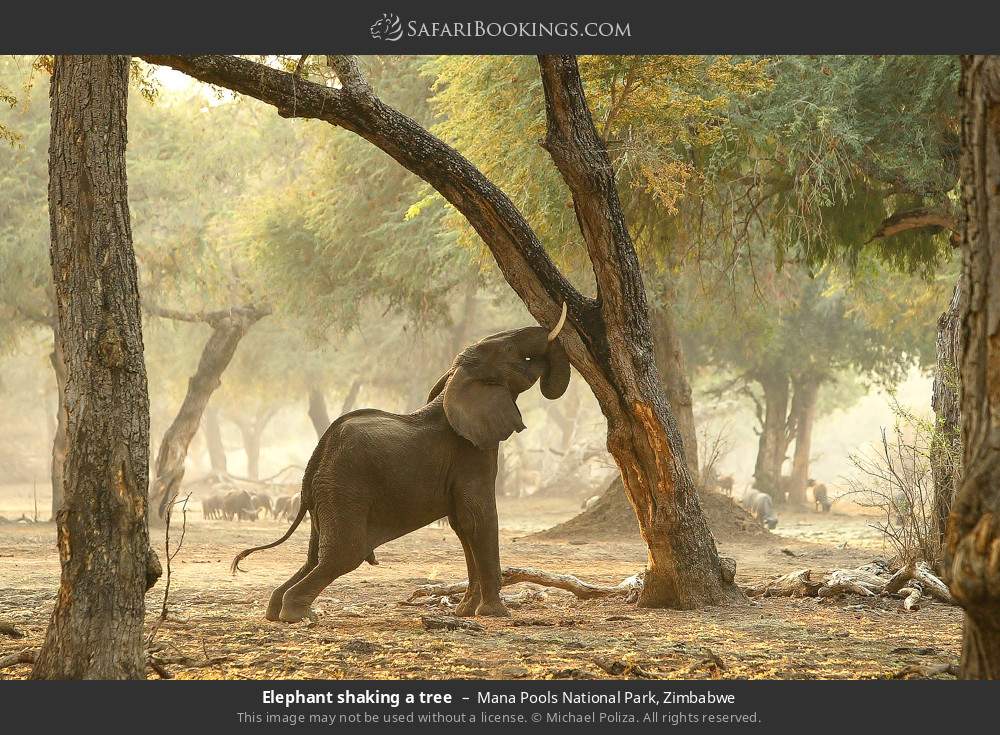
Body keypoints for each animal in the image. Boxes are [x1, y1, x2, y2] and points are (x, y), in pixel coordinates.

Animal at [229, 304, 572, 620]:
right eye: (510, 351)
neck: (455, 381)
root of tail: (318, 455)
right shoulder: (471, 452)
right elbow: (479, 518)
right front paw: (495, 613)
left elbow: (462, 525)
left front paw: (465, 611)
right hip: (343, 487)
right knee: (344, 554)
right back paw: (297, 615)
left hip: (326, 494)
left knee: (315, 557)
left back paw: (279, 610)